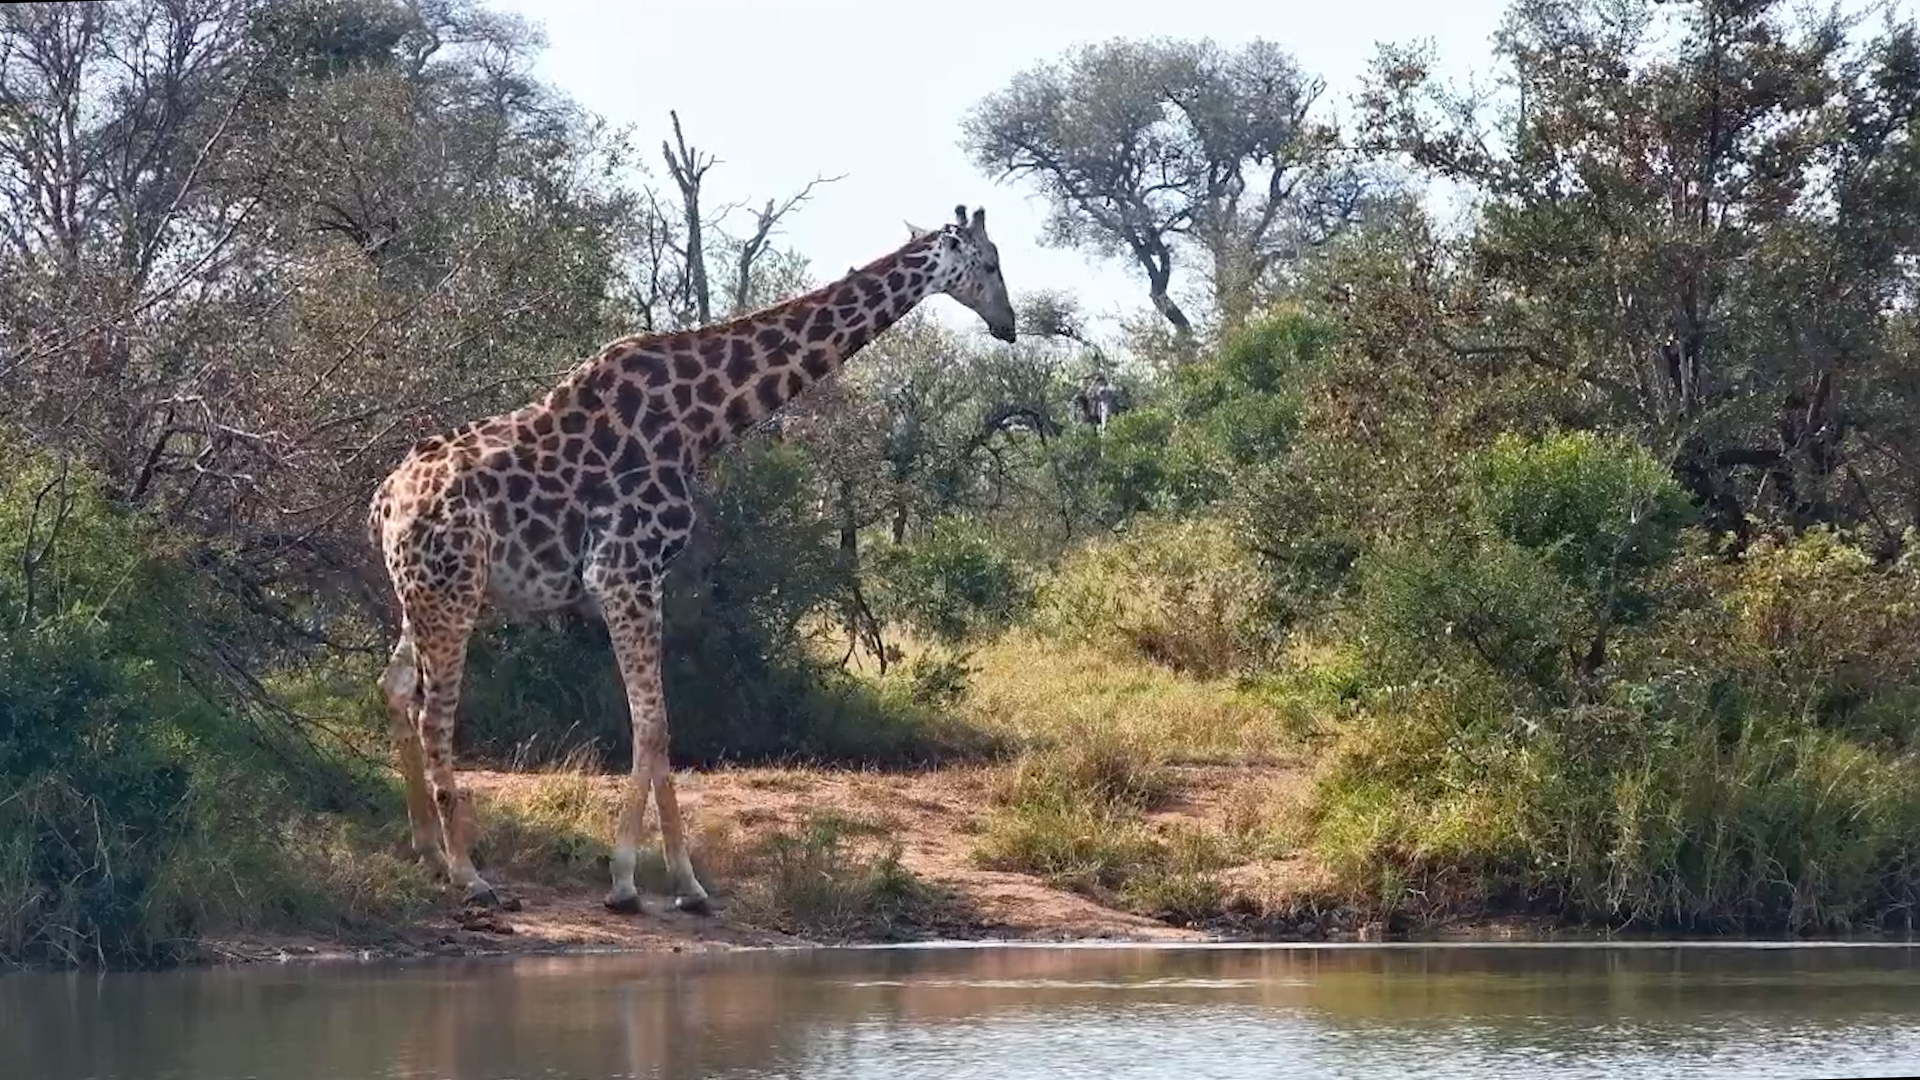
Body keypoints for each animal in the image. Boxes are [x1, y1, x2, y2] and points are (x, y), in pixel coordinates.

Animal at [369, 204, 1016, 913]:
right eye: (989, 264)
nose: (1009, 325)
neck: (697, 422)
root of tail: (384, 502)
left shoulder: (643, 578)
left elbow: (657, 726)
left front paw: (684, 882)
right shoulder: (622, 571)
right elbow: (651, 723)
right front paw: (629, 882)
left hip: (426, 596)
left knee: (394, 689)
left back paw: (429, 852)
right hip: (452, 595)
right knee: (434, 713)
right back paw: (469, 874)